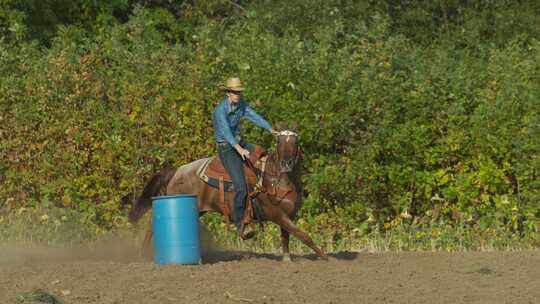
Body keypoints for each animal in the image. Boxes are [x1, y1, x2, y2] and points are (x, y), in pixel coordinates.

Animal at [128, 128, 326, 262]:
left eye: (295, 143)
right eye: (279, 142)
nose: (286, 164)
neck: (277, 178)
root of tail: (177, 171)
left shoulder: (288, 215)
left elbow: (287, 237)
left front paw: (287, 259)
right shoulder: (277, 215)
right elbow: (303, 235)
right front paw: (325, 257)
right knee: (152, 226)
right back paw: (143, 253)